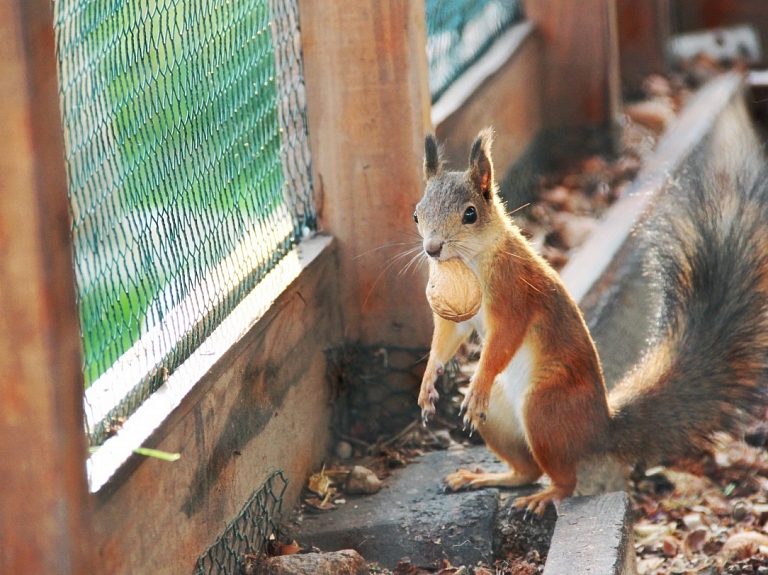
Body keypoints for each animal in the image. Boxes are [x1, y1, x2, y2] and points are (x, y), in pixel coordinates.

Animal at [416, 118, 768, 516]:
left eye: (470, 213)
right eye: (417, 213)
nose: (432, 249)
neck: (471, 262)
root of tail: (601, 429)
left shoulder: (514, 295)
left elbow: (503, 339)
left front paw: (477, 383)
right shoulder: (459, 312)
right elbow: (447, 338)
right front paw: (428, 382)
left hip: (544, 408)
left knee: (562, 480)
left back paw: (542, 495)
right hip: (503, 417)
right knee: (526, 470)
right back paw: (481, 478)